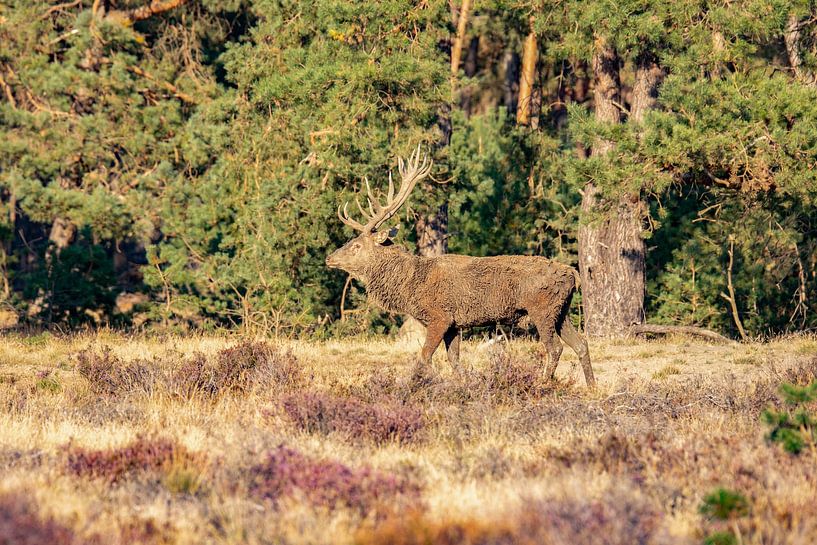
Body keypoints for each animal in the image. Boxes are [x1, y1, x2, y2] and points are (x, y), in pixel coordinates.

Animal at [325, 146, 595, 386]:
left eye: (356, 245)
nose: (329, 258)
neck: (411, 287)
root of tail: (573, 274)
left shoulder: (439, 317)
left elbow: (424, 357)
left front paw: (416, 385)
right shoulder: (455, 324)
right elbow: (454, 360)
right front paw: (463, 384)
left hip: (542, 309)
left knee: (555, 348)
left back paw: (542, 384)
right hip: (562, 310)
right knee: (581, 344)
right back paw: (592, 386)